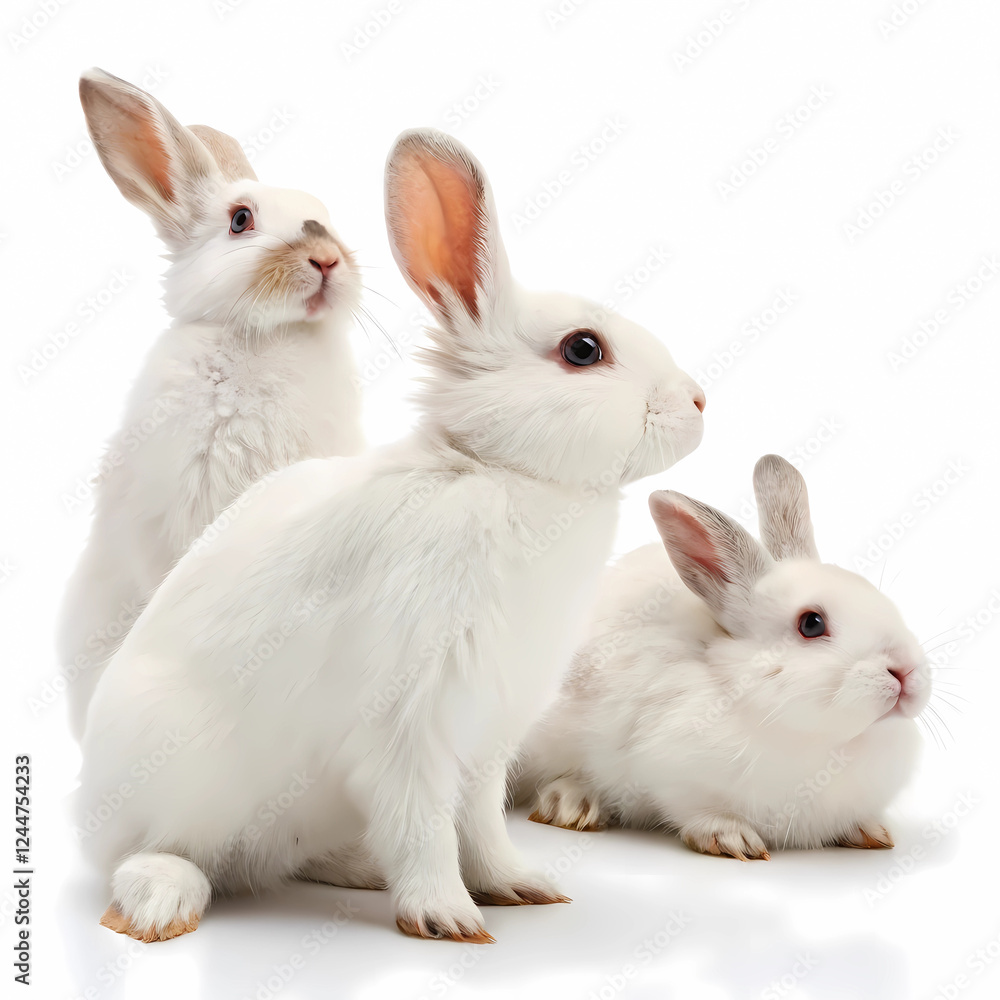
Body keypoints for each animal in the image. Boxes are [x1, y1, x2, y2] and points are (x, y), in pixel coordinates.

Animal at [76, 126, 706, 944]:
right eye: (582, 350)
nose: (699, 401)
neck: (498, 474)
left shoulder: (487, 732)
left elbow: (480, 822)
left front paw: (520, 886)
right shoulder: (410, 723)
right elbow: (425, 824)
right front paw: (449, 917)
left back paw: (359, 870)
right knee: (153, 853)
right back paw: (162, 899)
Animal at [518, 455, 931, 860]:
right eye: (812, 624)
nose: (905, 671)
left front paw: (870, 832)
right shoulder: (670, 772)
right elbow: (695, 809)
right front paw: (731, 838)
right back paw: (571, 805)